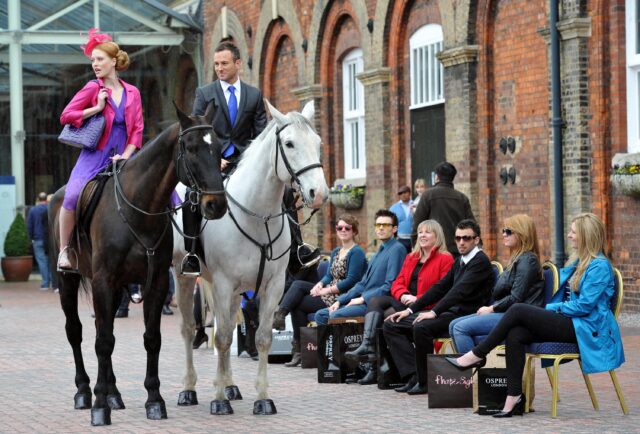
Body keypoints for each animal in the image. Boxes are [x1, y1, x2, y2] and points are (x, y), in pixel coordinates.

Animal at [47, 107, 225, 426]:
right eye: (191, 148)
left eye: (217, 148)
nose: (216, 204)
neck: (139, 207)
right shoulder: (103, 280)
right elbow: (102, 341)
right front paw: (99, 406)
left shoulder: (156, 282)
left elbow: (149, 339)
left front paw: (154, 400)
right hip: (68, 279)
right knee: (76, 331)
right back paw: (84, 391)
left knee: (102, 329)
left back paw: (114, 393)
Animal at [171, 100, 328, 416]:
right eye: (289, 144)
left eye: (318, 143)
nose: (318, 194)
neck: (258, 215)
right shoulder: (222, 283)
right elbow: (221, 338)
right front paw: (218, 400)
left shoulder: (274, 285)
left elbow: (261, 337)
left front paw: (262, 398)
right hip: (184, 277)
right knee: (190, 329)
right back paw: (189, 389)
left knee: (230, 326)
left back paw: (231, 386)